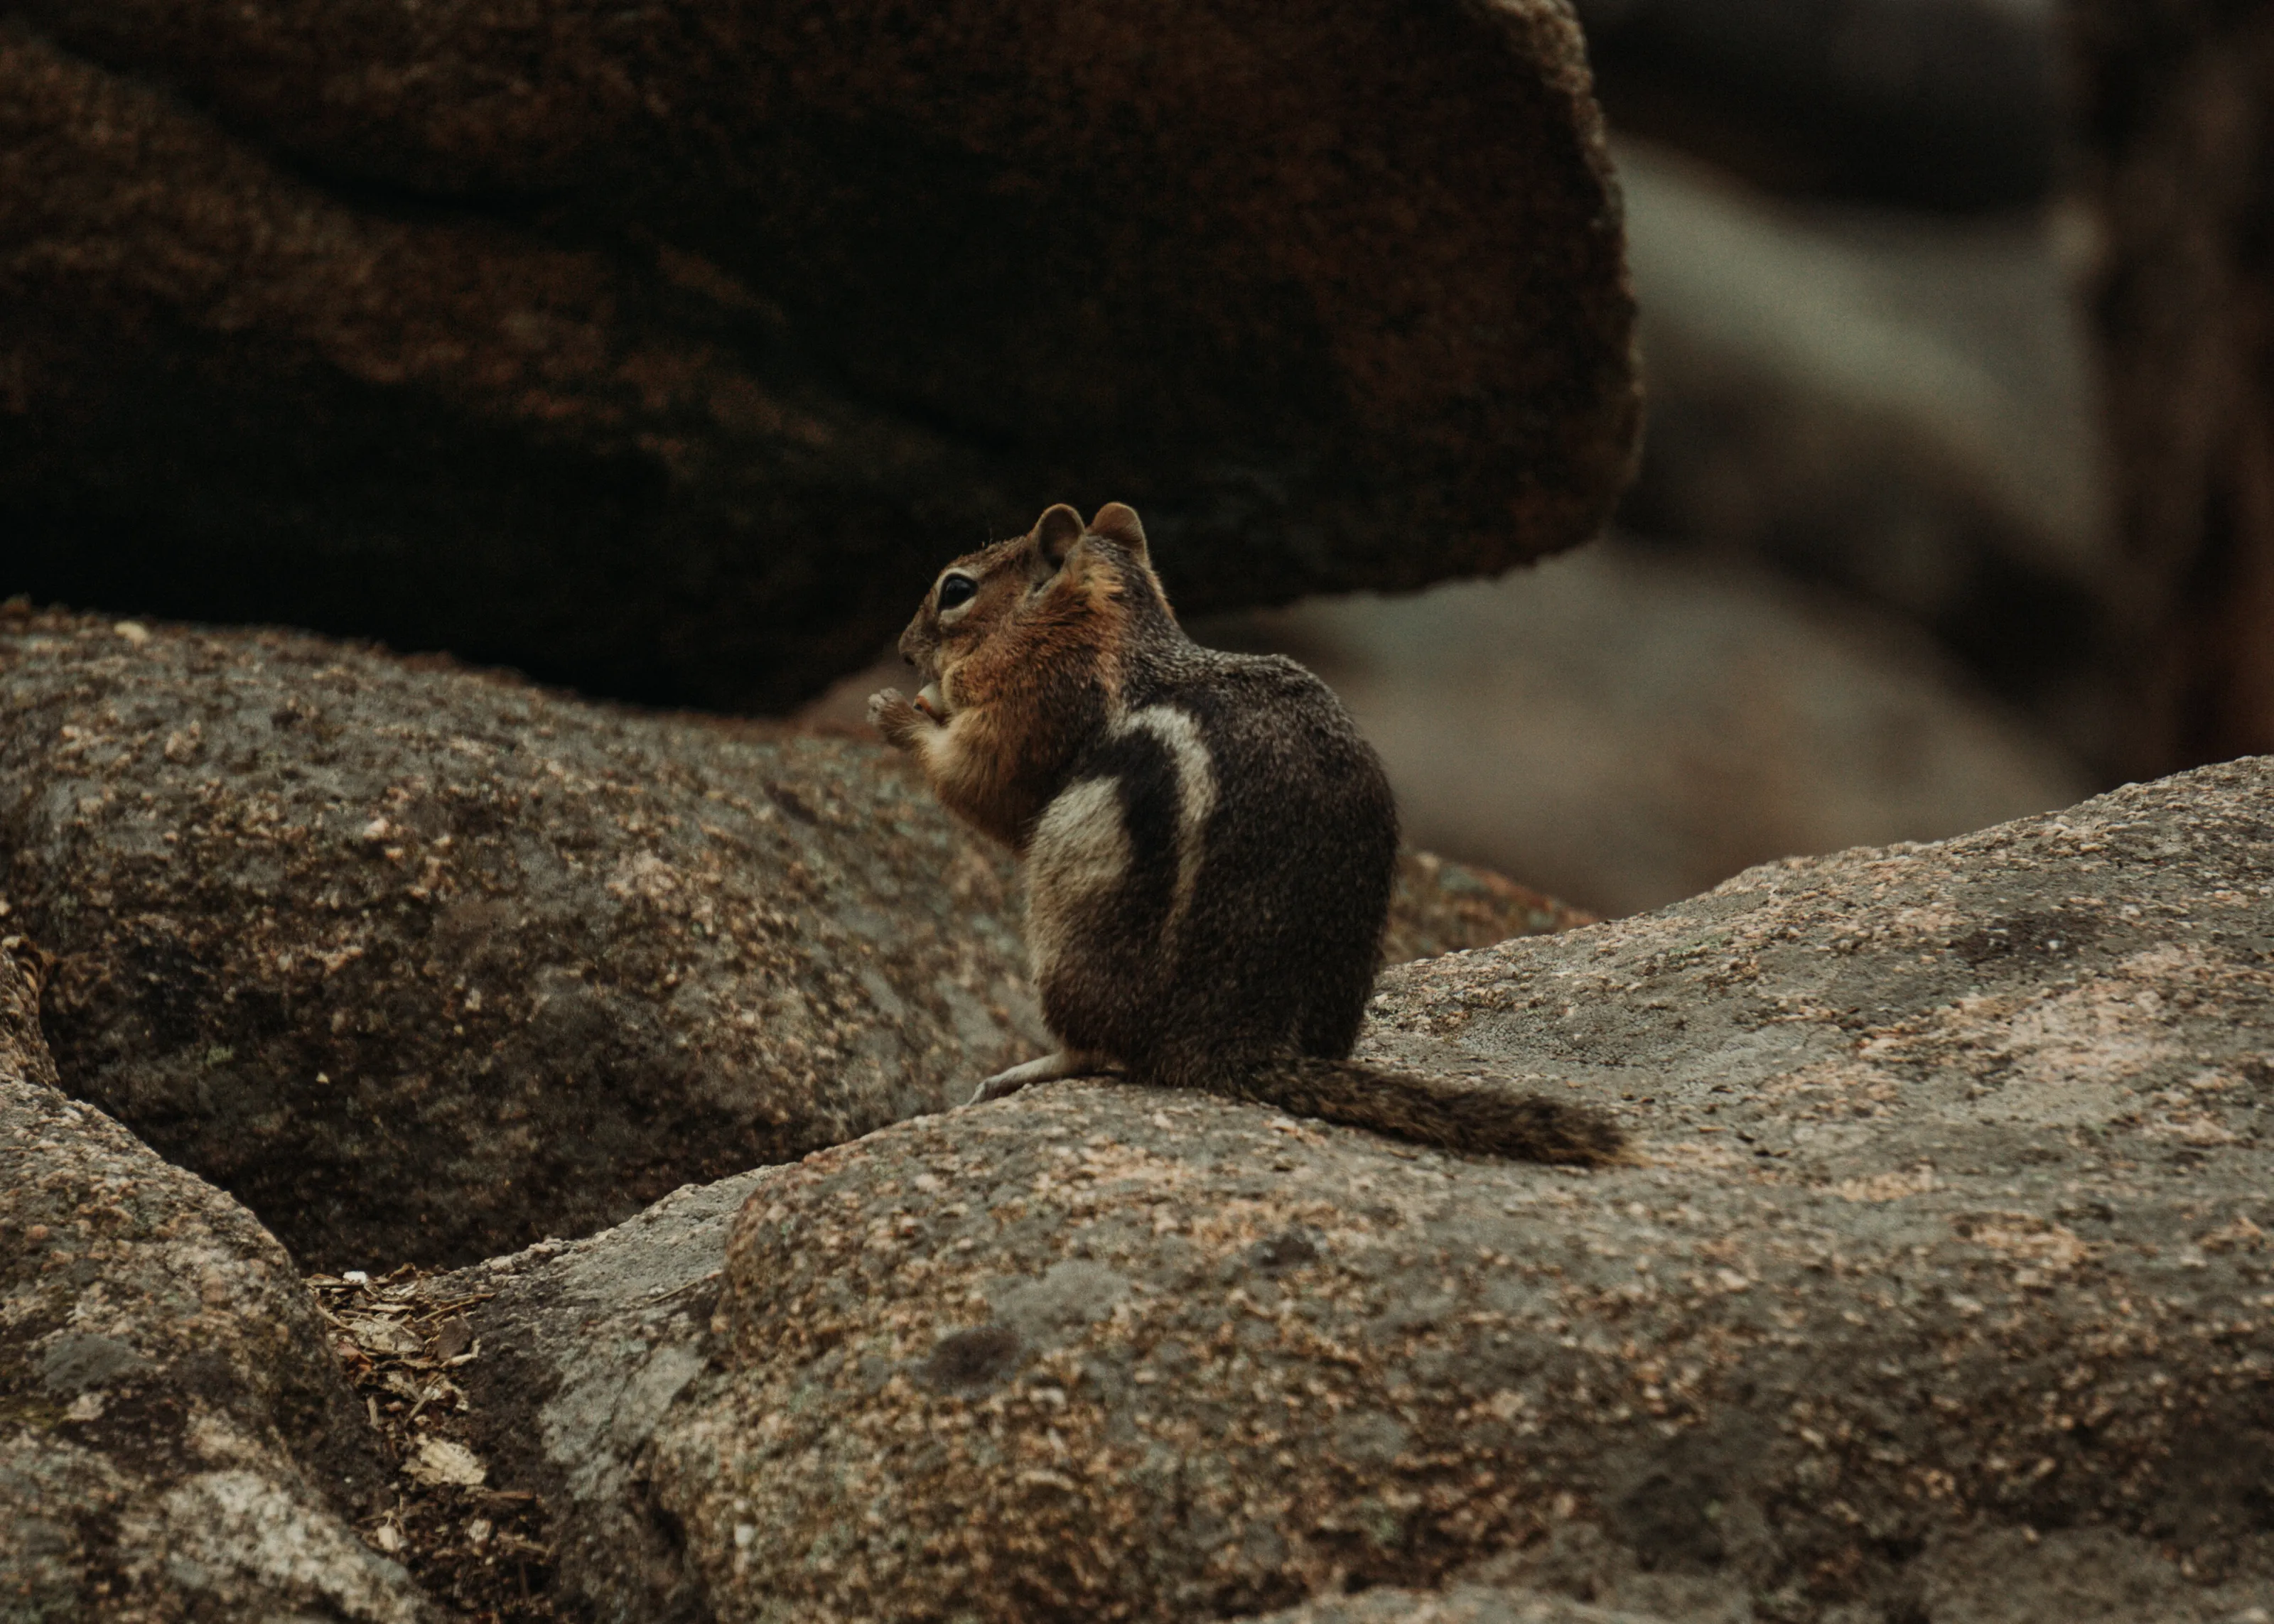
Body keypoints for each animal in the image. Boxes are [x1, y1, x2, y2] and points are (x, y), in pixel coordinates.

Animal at [868, 501, 1621, 1165]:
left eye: (956, 590)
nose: (902, 652)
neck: (1113, 635)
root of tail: (1236, 1044)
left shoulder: (1036, 709)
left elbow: (986, 784)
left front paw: (900, 712)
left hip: (1071, 928)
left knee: (1097, 1047)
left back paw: (1026, 1068)